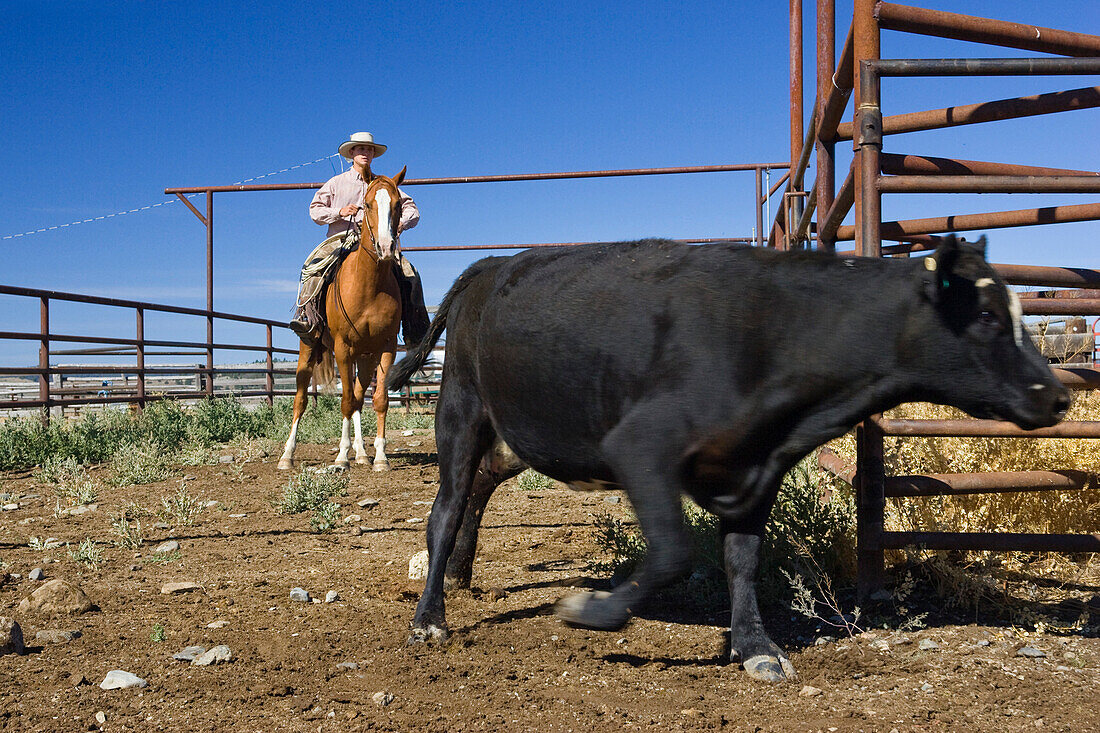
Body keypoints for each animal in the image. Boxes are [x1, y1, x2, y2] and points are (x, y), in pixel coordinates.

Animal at [277, 167, 411, 468]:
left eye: (398, 204)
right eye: (367, 205)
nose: (386, 247)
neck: (369, 286)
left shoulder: (386, 348)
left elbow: (378, 400)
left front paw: (380, 457)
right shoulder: (342, 347)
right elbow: (346, 401)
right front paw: (341, 457)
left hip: (365, 357)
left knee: (360, 397)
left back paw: (361, 453)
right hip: (310, 348)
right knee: (301, 399)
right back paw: (287, 455)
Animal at [385, 234, 1064, 677]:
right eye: (985, 316)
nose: (1055, 395)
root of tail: (490, 266)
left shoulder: (758, 468)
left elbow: (742, 559)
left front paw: (756, 646)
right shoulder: (641, 447)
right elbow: (674, 552)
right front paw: (595, 610)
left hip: (520, 437)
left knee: (479, 490)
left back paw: (461, 576)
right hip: (461, 413)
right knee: (445, 508)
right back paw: (430, 617)